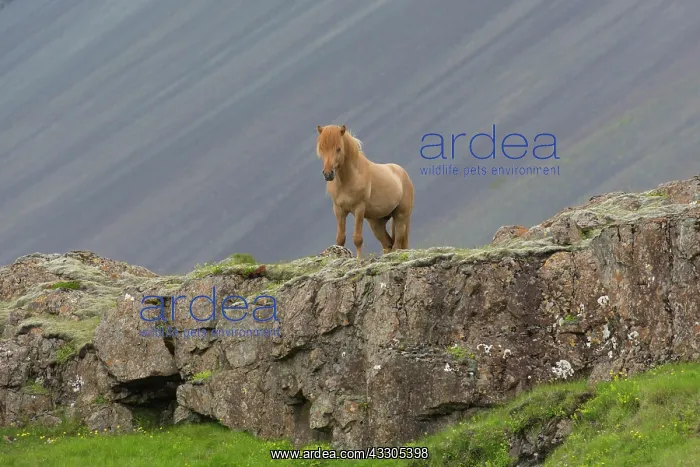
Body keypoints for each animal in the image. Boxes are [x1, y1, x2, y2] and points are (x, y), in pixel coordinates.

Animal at [316, 124, 414, 258]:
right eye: (321, 149)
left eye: (338, 148)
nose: (328, 174)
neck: (350, 178)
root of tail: (402, 172)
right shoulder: (339, 210)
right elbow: (340, 239)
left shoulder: (359, 209)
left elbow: (357, 239)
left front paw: (358, 259)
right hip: (376, 223)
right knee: (387, 244)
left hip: (400, 217)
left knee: (397, 243)